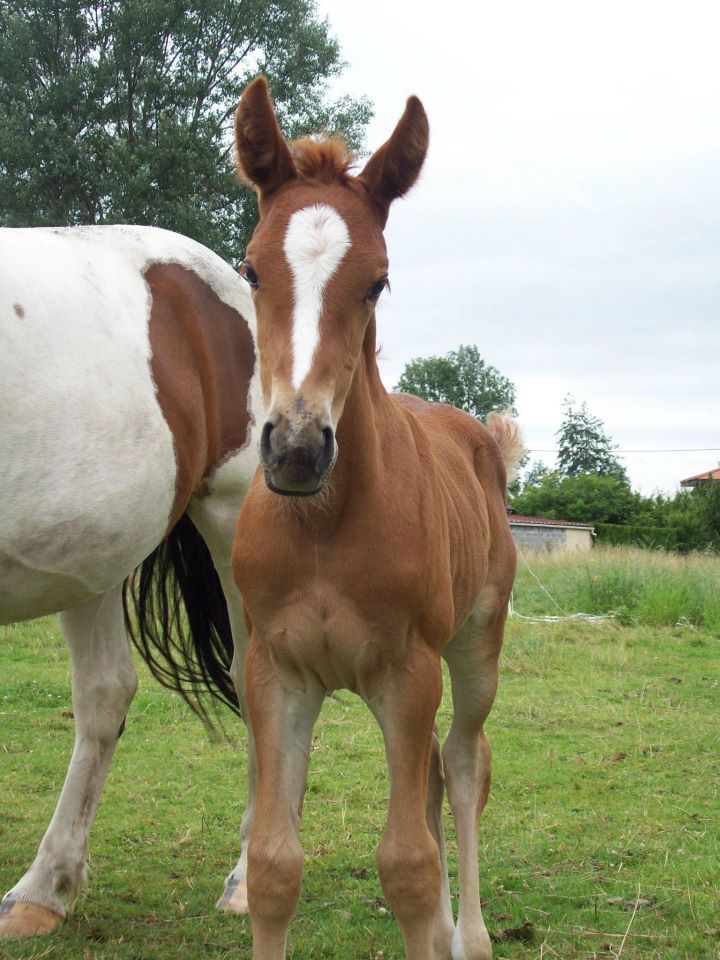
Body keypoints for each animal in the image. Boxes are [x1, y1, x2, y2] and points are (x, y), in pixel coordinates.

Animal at [233, 75, 520, 960]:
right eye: (251, 269)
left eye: (377, 281)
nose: (297, 448)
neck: (323, 528)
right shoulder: (276, 671)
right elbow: (274, 864)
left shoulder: (407, 669)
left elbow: (409, 866)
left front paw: (442, 923)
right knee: (429, 774)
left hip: (475, 646)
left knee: (461, 764)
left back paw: (472, 935)